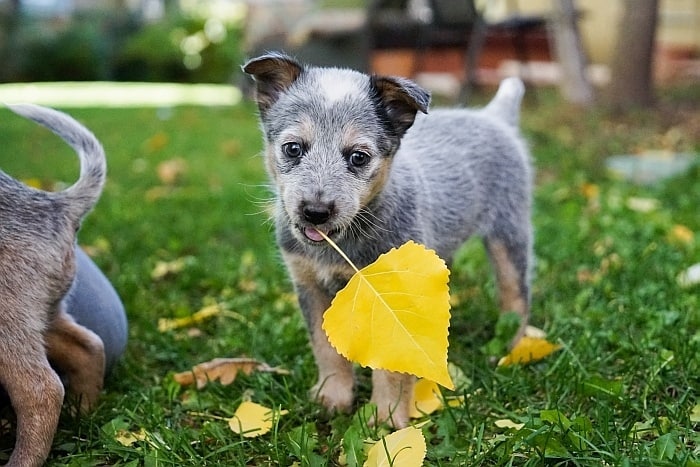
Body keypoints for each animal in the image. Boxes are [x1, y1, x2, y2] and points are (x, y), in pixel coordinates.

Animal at [243, 52, 532, 432]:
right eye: (293, 149)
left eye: (358, 157)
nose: (316, 212)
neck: (345, 245)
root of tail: (492, 116)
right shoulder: (309, 285)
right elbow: (324, 348)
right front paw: (333, 396)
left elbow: (394, 368)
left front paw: (387, 419)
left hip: (508, 232)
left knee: (516, 294)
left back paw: (512, 349)